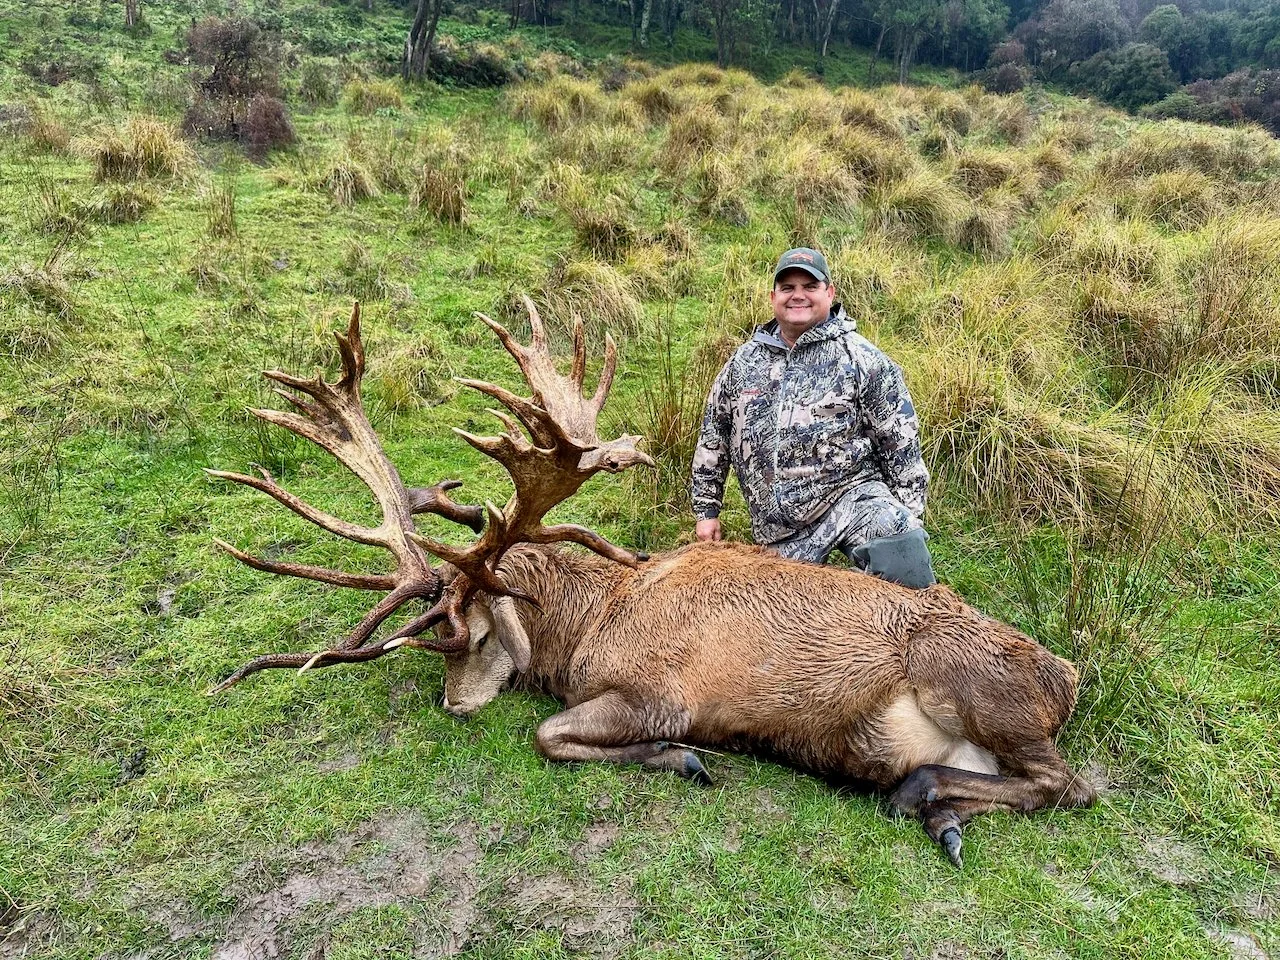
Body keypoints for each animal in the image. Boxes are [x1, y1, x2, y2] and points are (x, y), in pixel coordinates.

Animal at [207, 300, 1095, 867]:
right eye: (436, 641)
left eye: (468, 632)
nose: (456, 706)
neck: (586, 626)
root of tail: (1070, 677)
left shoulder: (658, 690)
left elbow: (549, 734)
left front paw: (686, 758)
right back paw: (938, 811)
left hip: (973, 683)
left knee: (1072, 786)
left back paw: (922, 796)